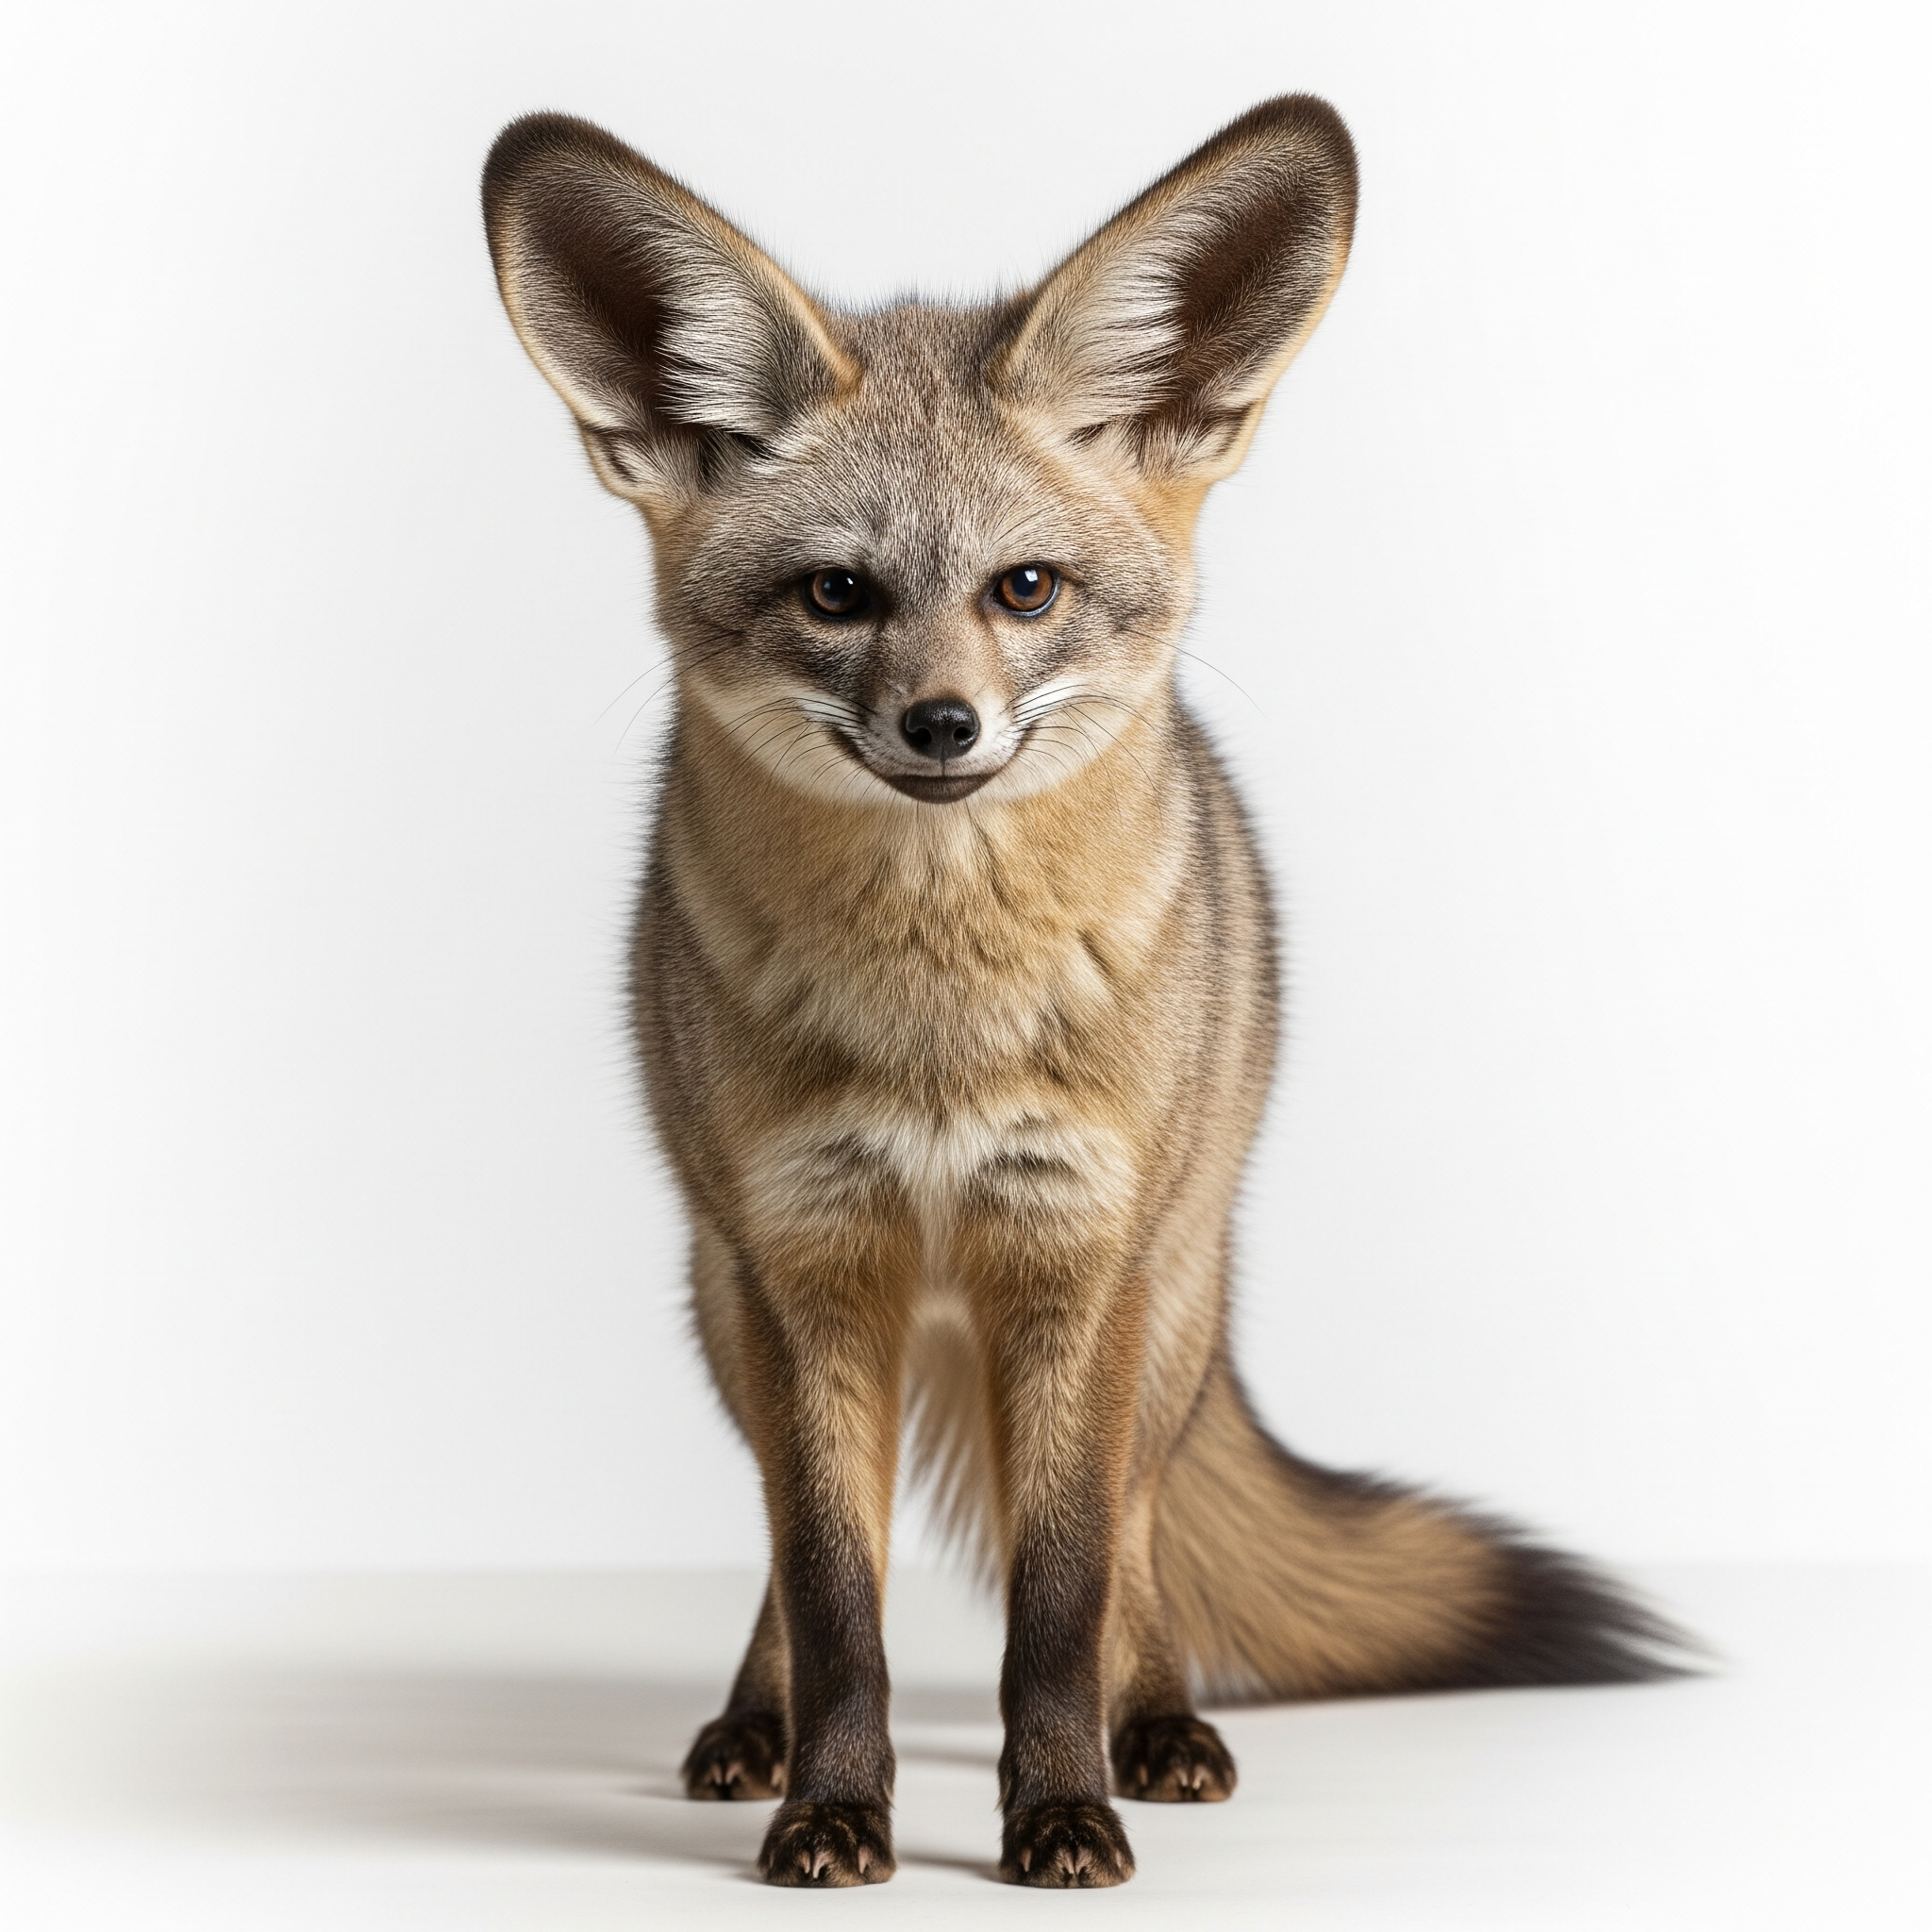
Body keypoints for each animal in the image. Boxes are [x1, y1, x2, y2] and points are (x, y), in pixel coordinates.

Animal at [480, 95, 1678, 1890]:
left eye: (1024, 588)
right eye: (838, 594)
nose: (942, 729)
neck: (937, 1025)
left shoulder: (1076, 1260)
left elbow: (1060, 1587)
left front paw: (1059, 1805)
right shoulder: (802, 1265)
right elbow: (832, 1588)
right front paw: (831, 1806)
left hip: (1167, 1315)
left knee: (1140, 1536)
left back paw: (1160, 1721)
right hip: (728, 1306)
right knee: (795, 1550)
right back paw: (755, 1727)